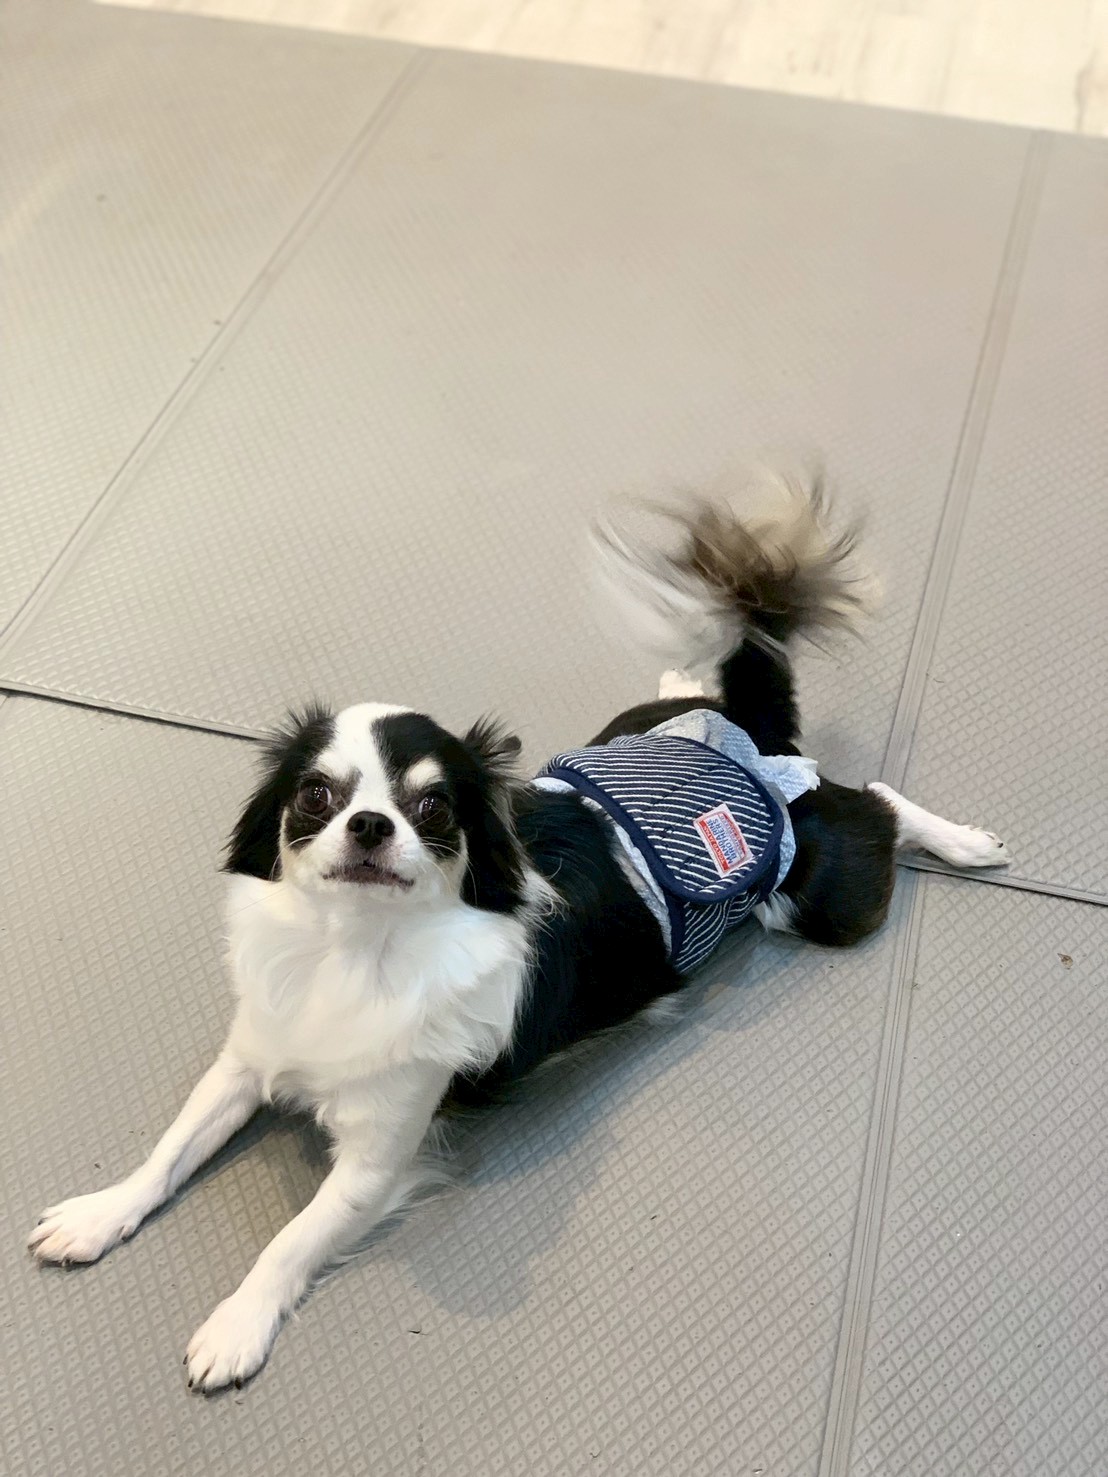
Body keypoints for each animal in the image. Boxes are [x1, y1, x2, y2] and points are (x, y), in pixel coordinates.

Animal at [28, 474, 1007, 1391]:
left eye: (433, 808)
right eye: (315, 795)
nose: (371, 825)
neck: (354, 949)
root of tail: (745, 747)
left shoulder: (380, 1155)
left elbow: (291, 1237)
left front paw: (236, 1326)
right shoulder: (249, 1060)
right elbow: (167, 1152)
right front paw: (97, 1213)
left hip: (827, 891)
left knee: (876, 801)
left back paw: (964, 841)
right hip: (647, 736)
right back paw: (686, 678)